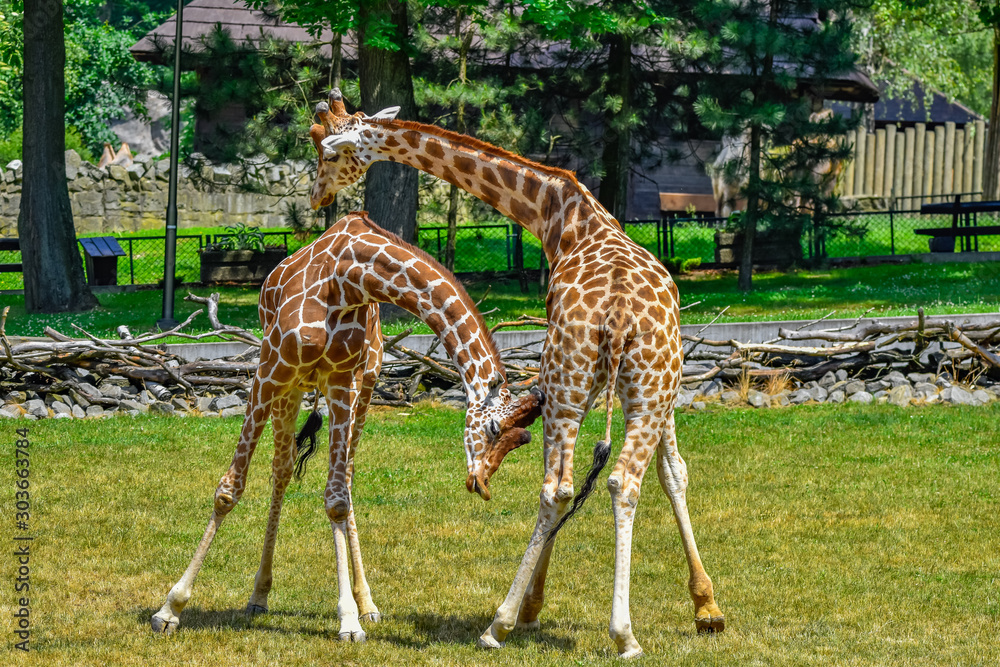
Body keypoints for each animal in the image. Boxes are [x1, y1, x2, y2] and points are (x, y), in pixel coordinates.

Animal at [150, 211, 543, 641]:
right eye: (494, 430)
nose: (481, 485)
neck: (349, 279)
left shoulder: (340, 380)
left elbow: (337, 499)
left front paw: (351, 618)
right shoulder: (270, 369)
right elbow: (228, 491)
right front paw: (170, 608)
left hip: (364, 384)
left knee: (345, 477)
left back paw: (366, 603)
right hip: (292, 386)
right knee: (282, 469)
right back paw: (258, 596)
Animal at [309, 88, 725, 658]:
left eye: (330, 153)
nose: (316, 196)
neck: (562, 216)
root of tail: (619, 316)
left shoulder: (566, 381)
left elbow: (572, 485)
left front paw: (530, 608)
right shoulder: (652, 386)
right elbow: (673, 472)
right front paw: (707, 608)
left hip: (573, 379)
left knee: (559, 488)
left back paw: (504, 623)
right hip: (646, 381)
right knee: (622, 481)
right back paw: (625, 635)